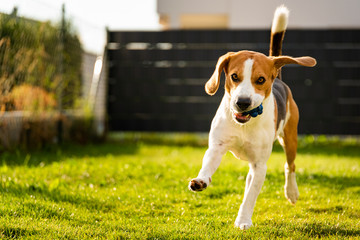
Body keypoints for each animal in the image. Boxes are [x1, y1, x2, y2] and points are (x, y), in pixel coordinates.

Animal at [187, 5, 316, 230]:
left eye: (261, 80)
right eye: (234, 76)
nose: (243, 102)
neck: (244, 124)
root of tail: (279, 79)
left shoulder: (260, 165)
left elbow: (250, 197)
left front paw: (243, 220)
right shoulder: (217, 147)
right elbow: (208, 165)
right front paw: (201, 180)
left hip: (290, 139)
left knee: (290, 166)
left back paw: (291, 191)